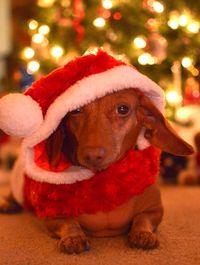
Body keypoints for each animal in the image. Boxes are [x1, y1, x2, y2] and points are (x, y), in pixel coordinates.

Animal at [0, 87, 194, 253]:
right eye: (75, 110)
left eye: (123, 109)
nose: (92, 155)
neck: (105, 181)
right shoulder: (53, 216)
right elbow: (69, 223)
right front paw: (73, 237)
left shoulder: (154, 211)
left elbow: (142, 219)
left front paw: (143, 234)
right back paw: (7, 204)